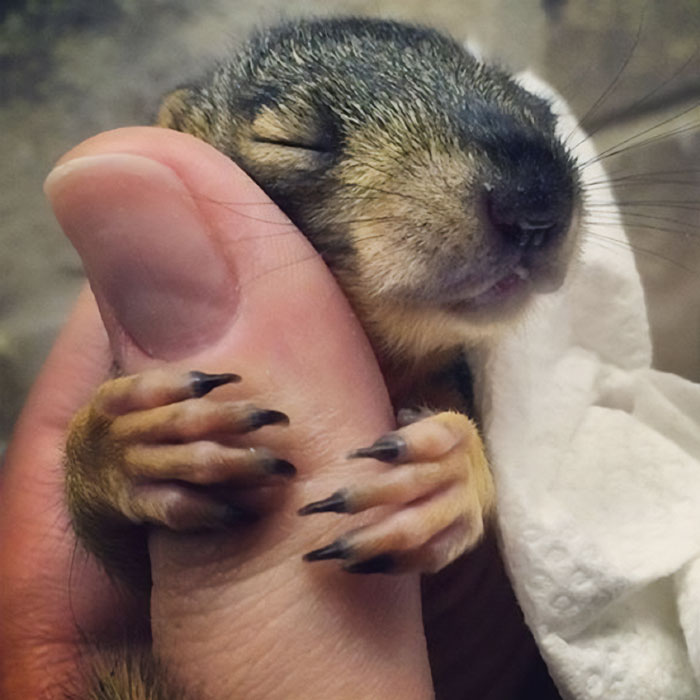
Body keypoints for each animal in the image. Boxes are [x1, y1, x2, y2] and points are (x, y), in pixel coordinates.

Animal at [64, 16, 580, 700]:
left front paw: (446, 471)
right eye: (290, 141)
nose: (536, 196)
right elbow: (124, 559)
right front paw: (126, 443)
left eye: (541, 111)